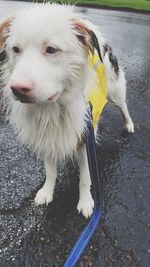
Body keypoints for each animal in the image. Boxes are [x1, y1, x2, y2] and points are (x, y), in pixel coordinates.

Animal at [0, 3, 134, 220]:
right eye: (15, 49)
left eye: (51, 49)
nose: (18, 89)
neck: (54, 106)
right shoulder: (46, 134)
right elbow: (50, 170)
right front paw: (47, 191)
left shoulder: (85, 137)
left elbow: (85, 176)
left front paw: (86, 202)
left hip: (115, 91)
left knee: (124, 107)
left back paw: (129, 124)